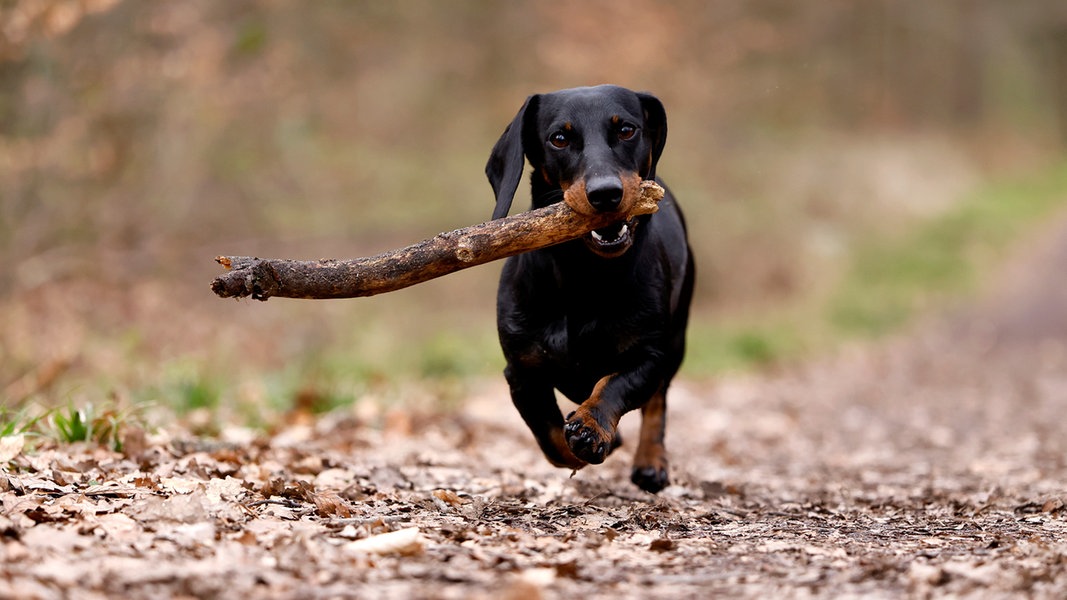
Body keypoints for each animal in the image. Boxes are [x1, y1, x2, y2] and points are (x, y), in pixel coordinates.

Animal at [488, 85, 695, 491]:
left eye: (627, 130)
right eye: (559, 138)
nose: (605, 194)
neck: (584, 276)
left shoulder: (650, 355)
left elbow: (614, 385)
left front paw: (590, 427)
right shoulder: (521, 373)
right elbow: (550, 437)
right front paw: (591, 441)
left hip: (677, 338)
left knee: (658, 400)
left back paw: (650, 461)